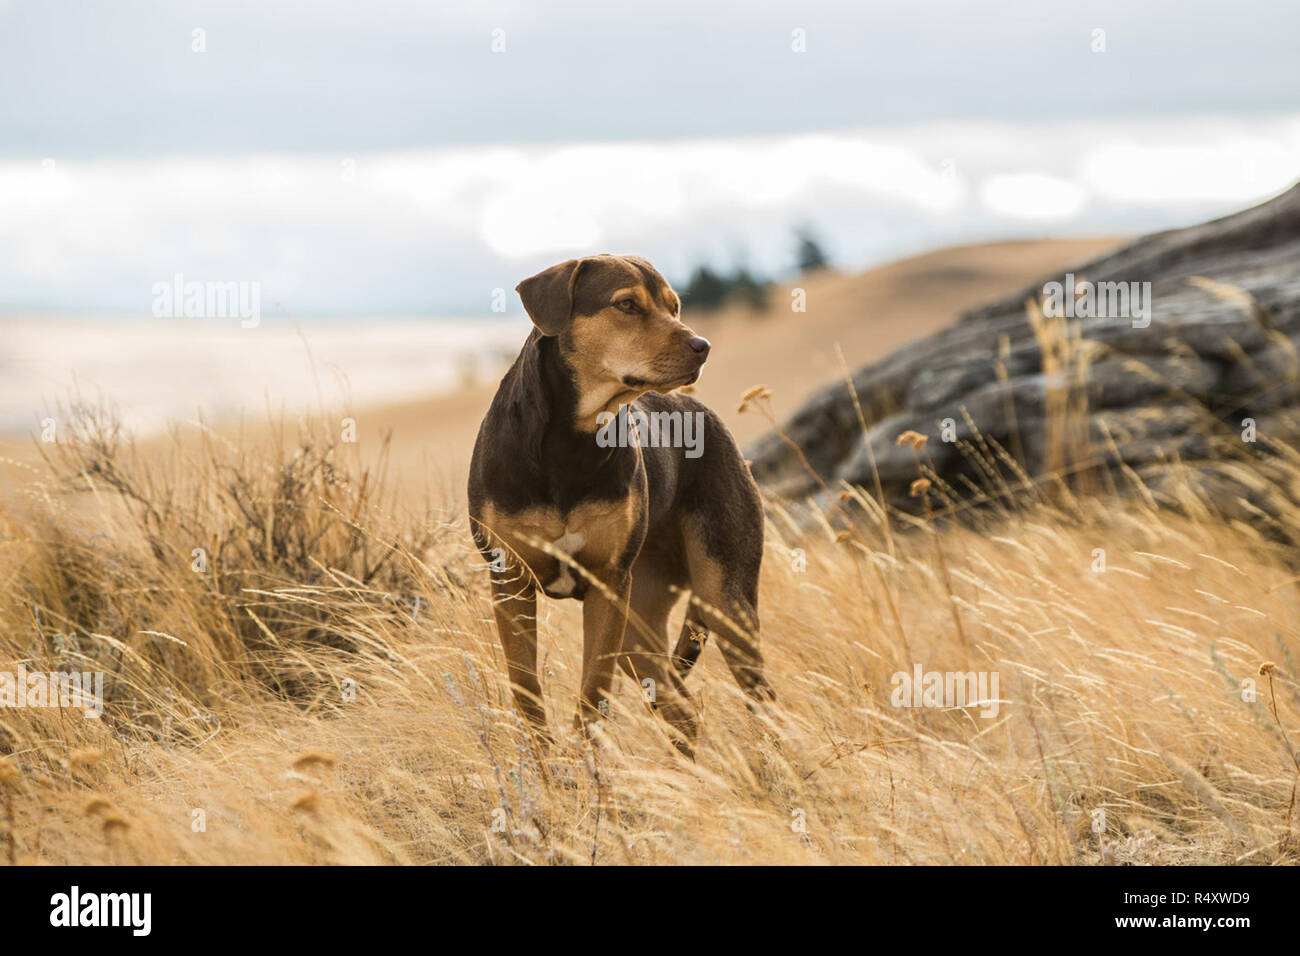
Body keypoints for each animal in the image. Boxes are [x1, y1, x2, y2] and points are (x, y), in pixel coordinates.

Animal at [467, 252, 769, 754]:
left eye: (674, 305)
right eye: (626, 304)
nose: (702, 346)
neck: (571, 441)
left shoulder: (608, 585)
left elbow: (592, 696)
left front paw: (584, 767)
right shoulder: (510, 579)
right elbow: (527, 693)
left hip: (722, 598)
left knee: (759, 702)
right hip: (639, 621)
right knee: (681, 706)